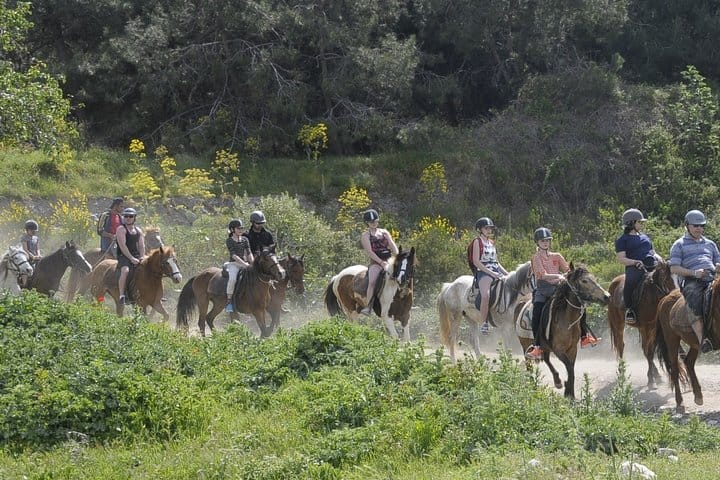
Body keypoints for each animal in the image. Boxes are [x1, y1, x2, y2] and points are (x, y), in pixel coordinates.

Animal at [514, 263, 610, 398]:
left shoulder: (572, 349)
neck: (567, 319)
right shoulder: (558, 350)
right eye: (584, 281)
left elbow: (571, 369)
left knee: (546, 359)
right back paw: (533, 385)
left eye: (594, 278)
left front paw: (570, 393)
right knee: (529, 364)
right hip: (525, 345)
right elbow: (569, 368)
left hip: (544, 346)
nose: (607, 296)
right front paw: (568, 393)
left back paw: (557, 381)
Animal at [606, 260, 676, 388]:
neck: (652, 296)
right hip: (619, 325)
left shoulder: (652, 329)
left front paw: (654, 377)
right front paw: (651, 380)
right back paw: (622, 372)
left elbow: (651, 351)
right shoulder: (646, 328)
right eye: (666, 279)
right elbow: (648, 352)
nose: (675, 295)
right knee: (621, 345)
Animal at [655, 280, 720, 413]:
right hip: (672, 339)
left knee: (688, 361)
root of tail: (665, 299)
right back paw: (680, 403)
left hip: (694, 344)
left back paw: (698, 396)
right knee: (675, 369)